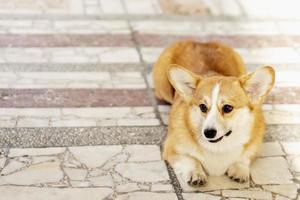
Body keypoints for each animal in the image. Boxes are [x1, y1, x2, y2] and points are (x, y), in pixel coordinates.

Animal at [154, 40, 276, 186]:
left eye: (227, 108)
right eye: (202, 107)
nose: (208, 133)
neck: (218, 148)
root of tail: (200, 42)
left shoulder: (253, 147)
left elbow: (244, 158)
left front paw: (240, 170)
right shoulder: (171, 149)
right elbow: (191, 160)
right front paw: (196, 173)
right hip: (163, 90)